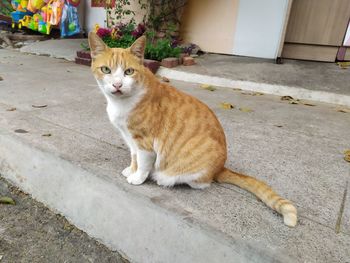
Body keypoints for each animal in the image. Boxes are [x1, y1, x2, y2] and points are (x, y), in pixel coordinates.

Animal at [88, 32, 298, 228]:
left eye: (129, 72)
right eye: (106, 70)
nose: (117, 85)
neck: (122, 104)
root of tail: (220, 167)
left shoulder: (145, 143)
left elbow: (144, 162)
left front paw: (138, 177)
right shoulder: (130, 138)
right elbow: (134, 157)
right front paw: (131, 170)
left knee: (201, 183)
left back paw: (165, 179)